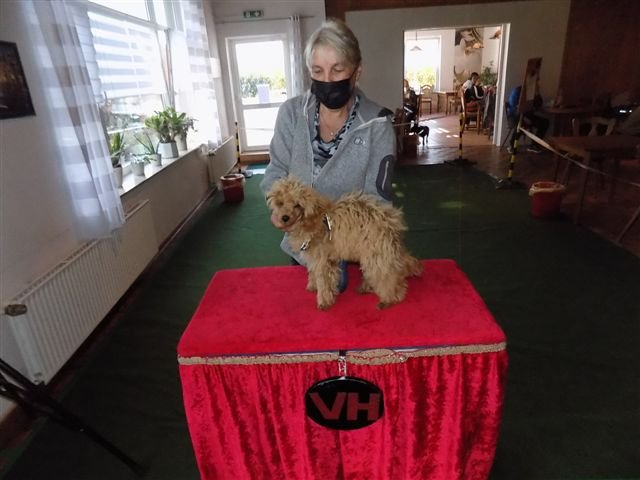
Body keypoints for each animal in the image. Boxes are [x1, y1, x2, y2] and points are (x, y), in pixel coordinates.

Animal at [266, 176, 422, 310]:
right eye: (280, 203)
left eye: (297, 205)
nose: (285, 217)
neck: (310, 220)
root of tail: (391, 223)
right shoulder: (316, 258)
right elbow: (314, 273)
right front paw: (313, 286)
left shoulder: (323, 260)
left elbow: (324, 281)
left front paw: (323, 301)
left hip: (376, 253)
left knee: (388, 276)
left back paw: (389, 298)